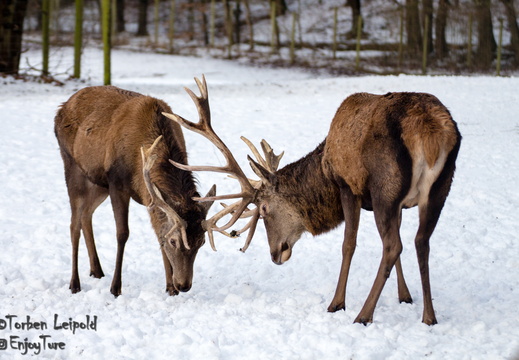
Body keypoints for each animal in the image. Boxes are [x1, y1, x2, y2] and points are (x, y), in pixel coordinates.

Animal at [55, 83, 218, 296]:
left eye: (201, 242)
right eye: (174, 241)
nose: (184, 285)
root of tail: (62, 107)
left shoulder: (150, 198)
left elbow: (158, 231)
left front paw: (169, 288)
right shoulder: (117, 183)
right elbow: (122, 233)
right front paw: (115, 288)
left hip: (98, 182)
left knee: (86, 215)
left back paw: (96, 270)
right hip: (72, 166)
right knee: (74, 224)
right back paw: (74, 283)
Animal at [165, 79, 462, 326]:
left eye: (264, 208)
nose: (275, 254)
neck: (324, 170)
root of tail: (432, 133)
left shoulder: (348, 186)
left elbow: (348, 244)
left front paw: (337, 303)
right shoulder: (395, 202)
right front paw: (404, 295)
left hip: (385, 186)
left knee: (393, 245)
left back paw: (363, 315)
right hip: (440, 188)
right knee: (421, 241)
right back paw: (429, 316)